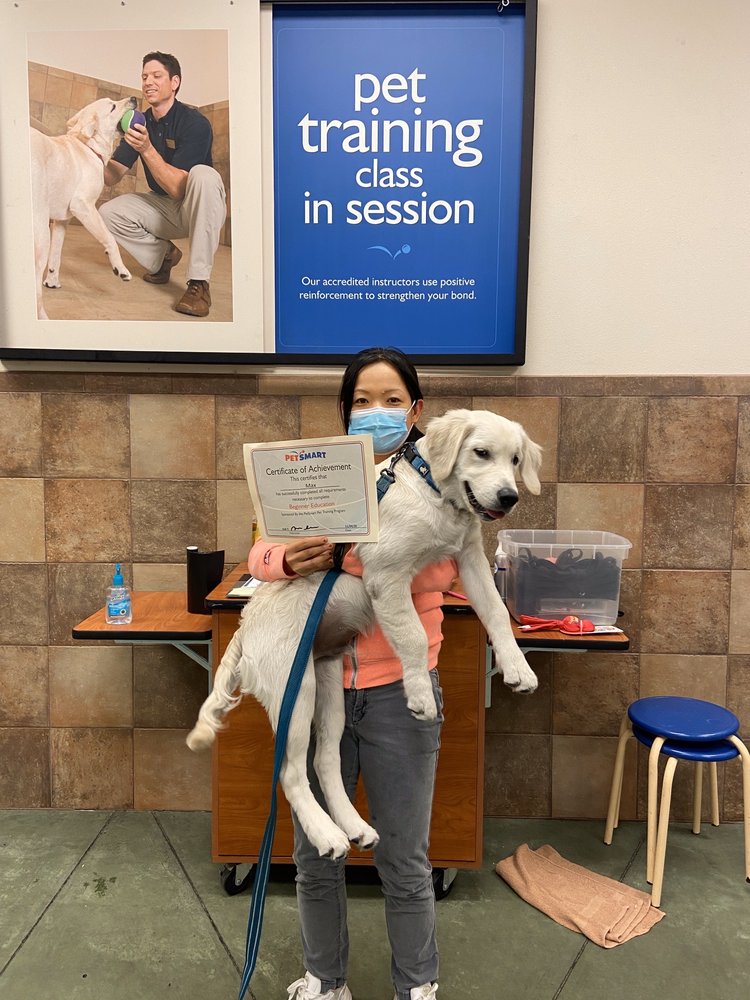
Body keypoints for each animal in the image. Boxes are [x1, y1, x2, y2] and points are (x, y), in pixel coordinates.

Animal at [30, 96, 137, 319]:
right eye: (113, 106)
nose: (134, 98)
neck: (89, 147)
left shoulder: (61, 221)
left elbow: (57, 254)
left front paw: (52, 281)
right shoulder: (83, 206)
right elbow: (110, 239)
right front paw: (120, 268)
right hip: (41, 232)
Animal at [187, 409, 543, 859]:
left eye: (516, 460)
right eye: (481, 453)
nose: (508, 496)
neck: (431, 490)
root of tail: (244, 627)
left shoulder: (469, 558)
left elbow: (495, 612)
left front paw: (519, 669)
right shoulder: (386, 573)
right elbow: (413, 636)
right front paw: (420, 695)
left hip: (327, 686)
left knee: (323, 762)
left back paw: (355, 827)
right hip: (293, 688)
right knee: (290, 771)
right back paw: (327, 835)